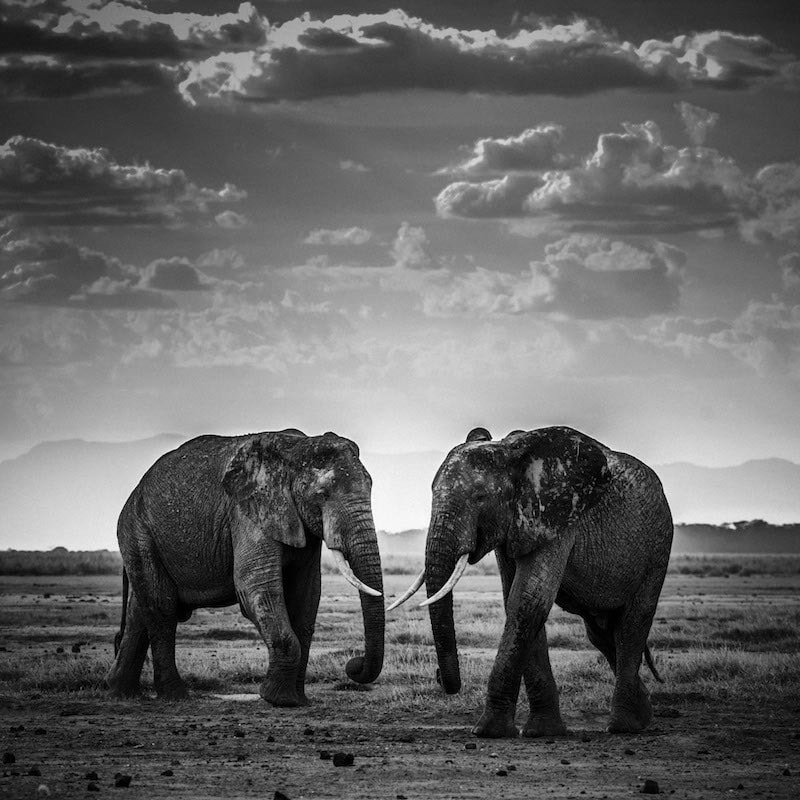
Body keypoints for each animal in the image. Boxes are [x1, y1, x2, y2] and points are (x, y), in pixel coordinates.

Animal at [106, 429, 384, 706]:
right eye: (321, 495)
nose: (353, 665)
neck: (295, 449)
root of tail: (135, 491)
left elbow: (307, 595)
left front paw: (298, 700)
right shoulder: (246, 512)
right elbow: (254, 586)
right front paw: (278, 699)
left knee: (140, 610)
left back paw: (121, 692)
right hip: (138, 531)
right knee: (161, 607)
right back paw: (174, 696)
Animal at [390, 425, 673, 738]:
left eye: (480, 497)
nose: (440, 677)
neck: (513, 456)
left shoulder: (558, 518)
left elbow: (527, 601)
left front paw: (489, 731)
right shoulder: (514, 524)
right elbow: (517, 600)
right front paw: (542, 731)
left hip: (657, 547)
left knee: (632, 625)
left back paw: (624, 726)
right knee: (601, 633)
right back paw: (643, 714)